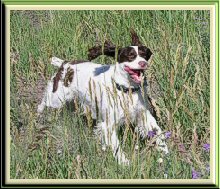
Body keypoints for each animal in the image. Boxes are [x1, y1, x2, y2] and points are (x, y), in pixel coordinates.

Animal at [37, 29, 168, 165]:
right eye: (131, 55)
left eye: (144, 54)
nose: (143, 63)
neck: (127, 89)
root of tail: (65, 63)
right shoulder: (109, 123)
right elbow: (116, 146)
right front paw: (124, 162)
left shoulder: (142, 114)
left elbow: (157, 131)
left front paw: (165, 151)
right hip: (56, 98)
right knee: (43, 103)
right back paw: (39, 116)